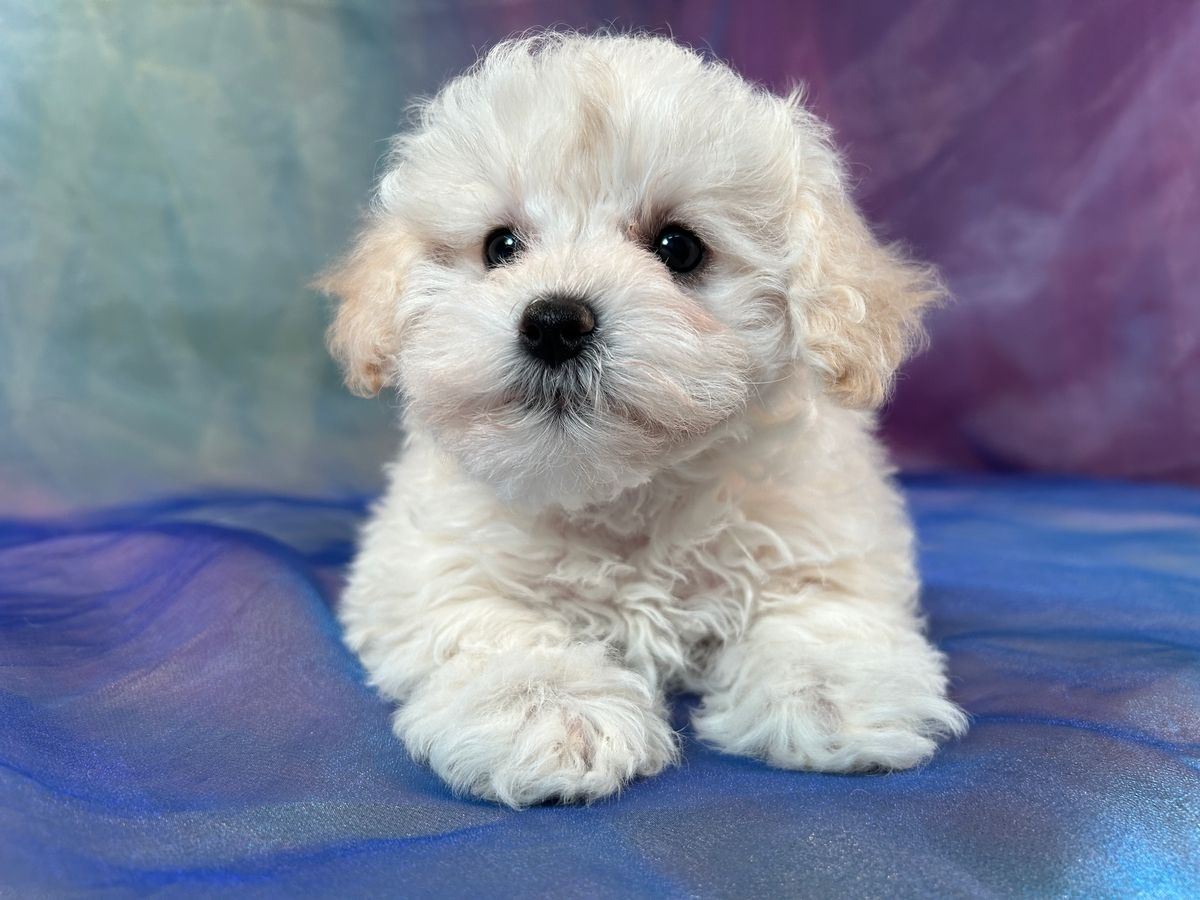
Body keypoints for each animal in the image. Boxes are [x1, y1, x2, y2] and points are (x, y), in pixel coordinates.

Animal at [319, 33, 964, 811]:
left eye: (678, 248)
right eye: (500, 247)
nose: (555, 321)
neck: (623, 494)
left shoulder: (826, 538)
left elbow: (820, 612)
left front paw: (832, 692)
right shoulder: (425, 567)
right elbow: (494, 626)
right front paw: (553, 709)